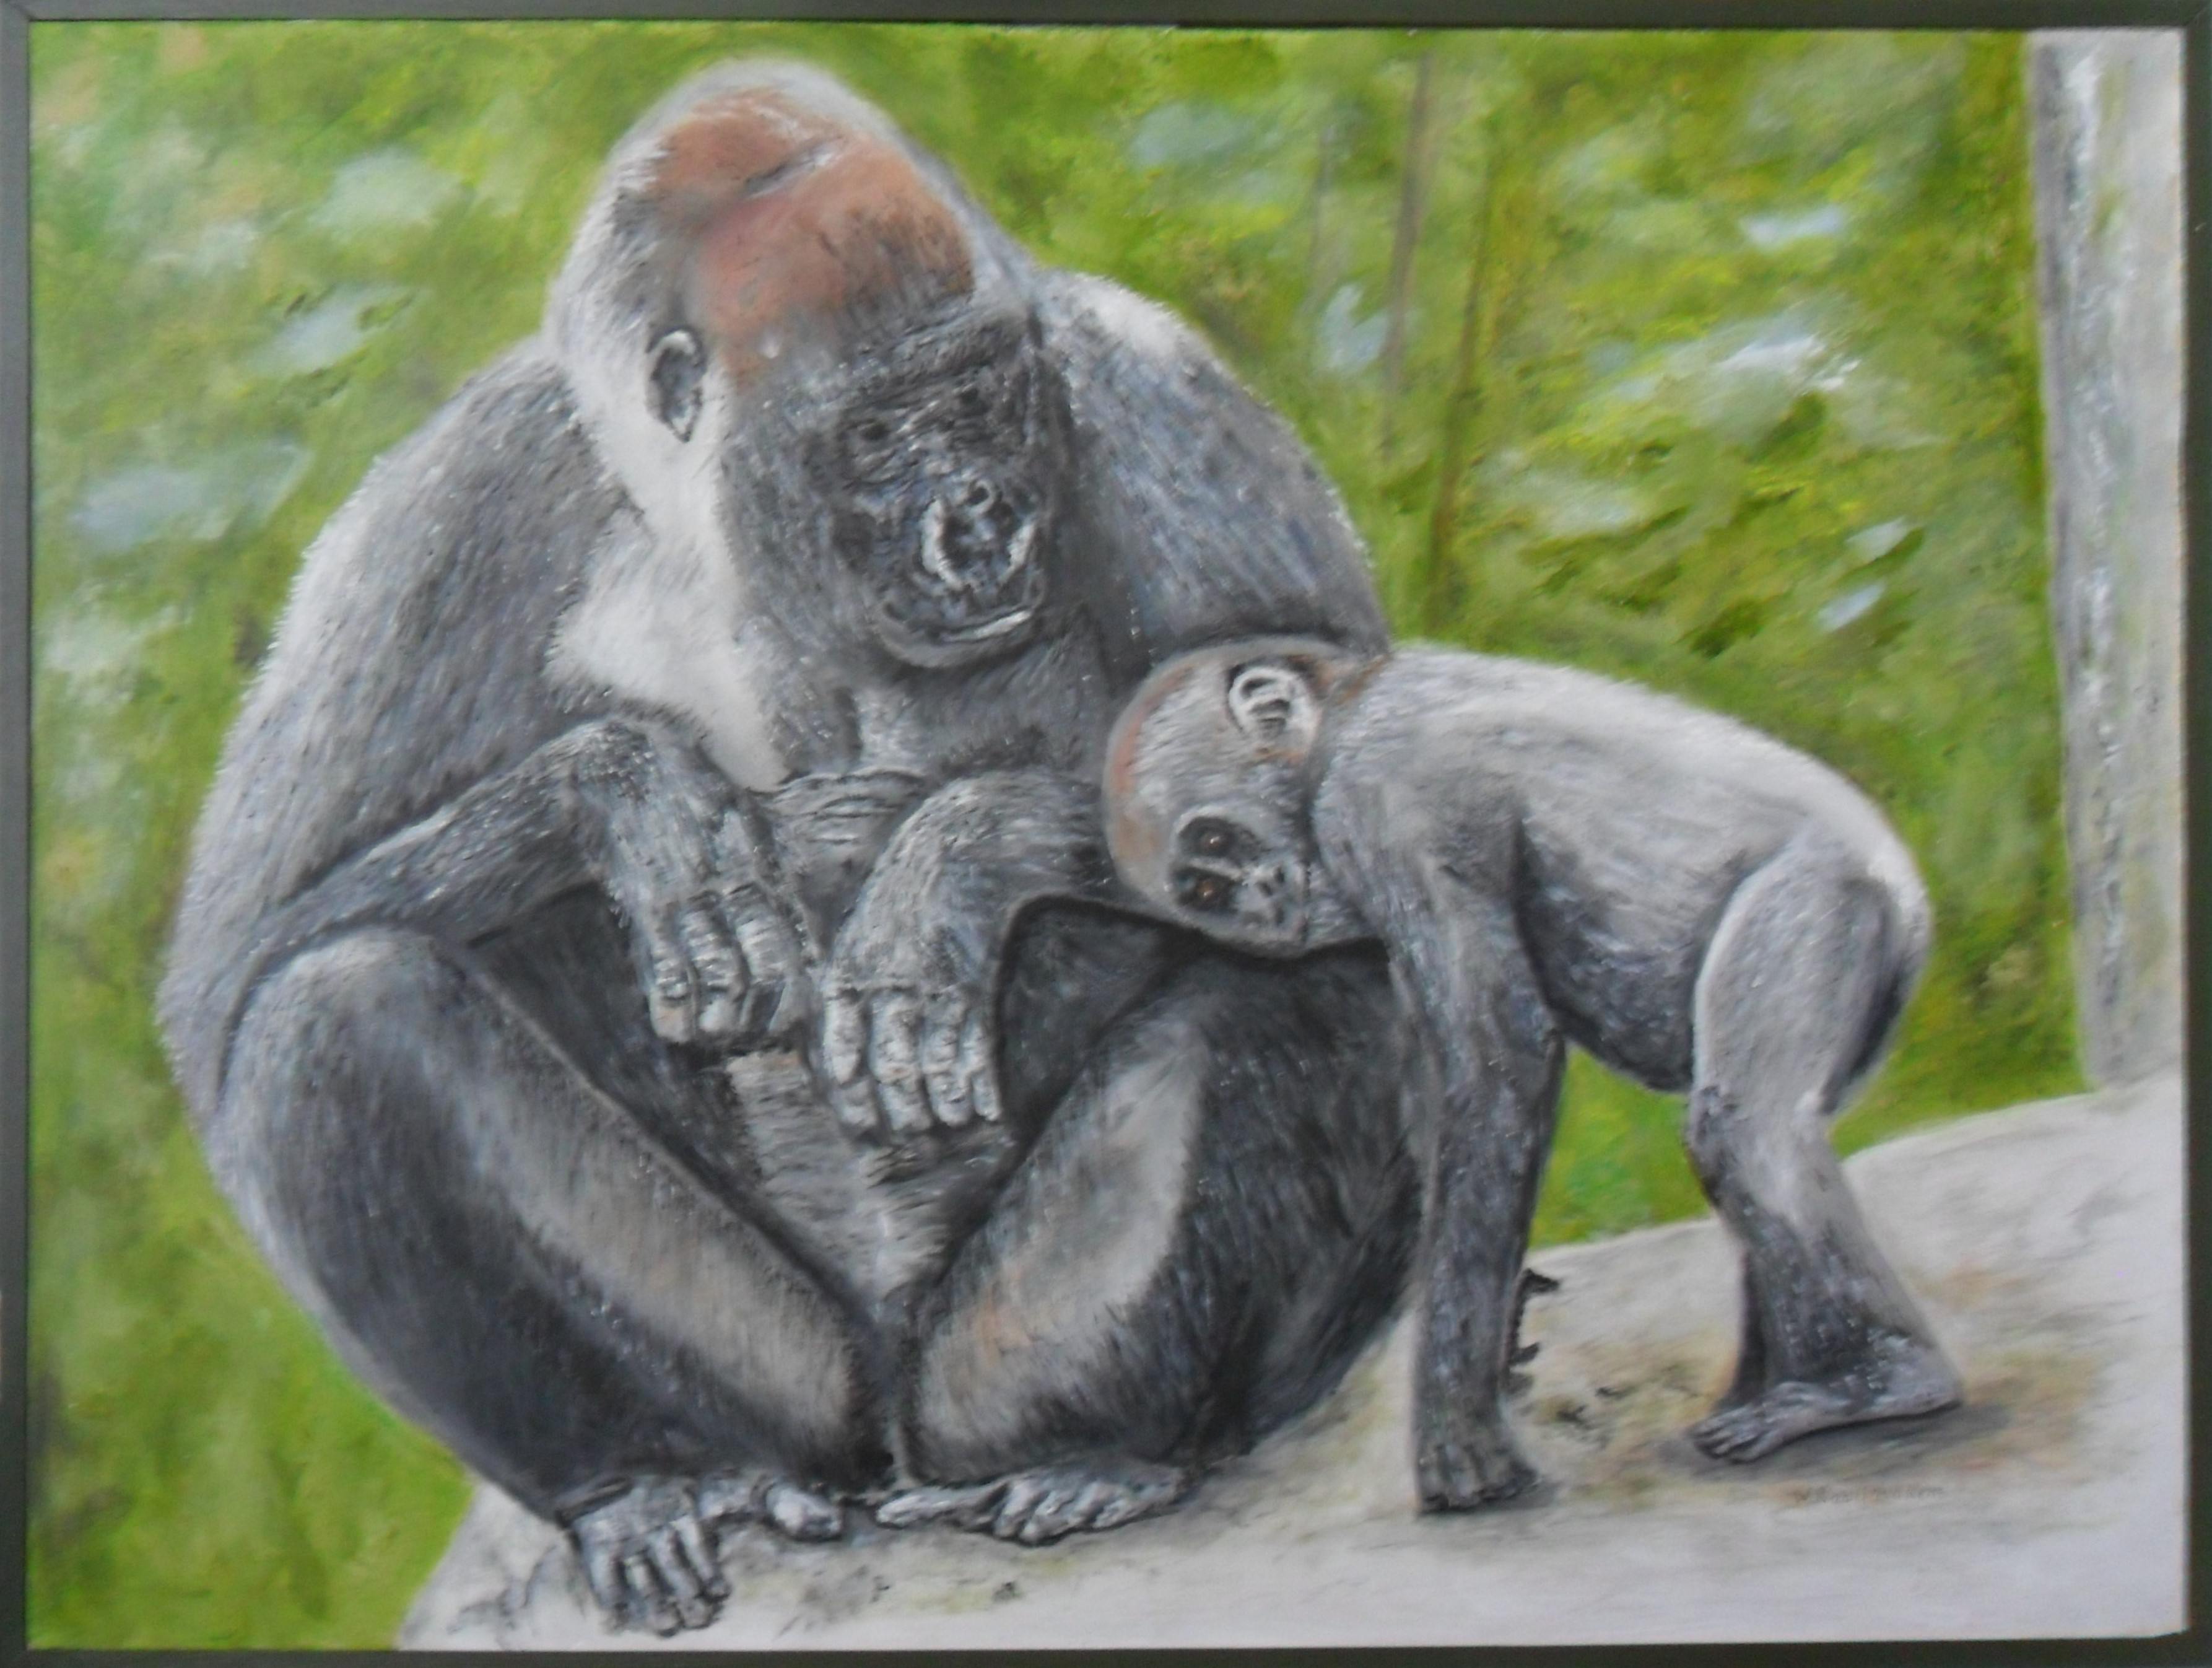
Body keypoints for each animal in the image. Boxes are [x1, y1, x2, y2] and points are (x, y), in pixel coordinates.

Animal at [158, 63, 1414, 1633]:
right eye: (877, 433)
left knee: (1320, 987)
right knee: (335, 1012)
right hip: (792, 1393)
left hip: (972, 1376)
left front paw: (947, 859)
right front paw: (639, 804)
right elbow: (240, 972)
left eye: (982, 392)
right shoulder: (455, 496)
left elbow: (1349, 777)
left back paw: (1109, 1444)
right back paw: (647, 1475)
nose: (984, 516)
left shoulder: (1157, 391)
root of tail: (884, 1457)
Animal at [1101, 638, 1963, 1511]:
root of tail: (1906, 901)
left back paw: (1877, 1382)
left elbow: (1499, 1061)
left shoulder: (1385, 802)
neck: (1335, 723)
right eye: (1206, 887)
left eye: (1216, 842)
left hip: (1820, 900)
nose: (1260, 899)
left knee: (1744, 1132)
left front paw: (1459, 1439)